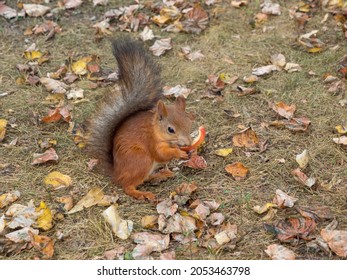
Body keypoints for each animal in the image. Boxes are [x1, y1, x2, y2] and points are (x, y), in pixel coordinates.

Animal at [88, 38, 194, 200]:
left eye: (189, 124)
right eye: (170, 129)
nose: (188, 143)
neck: (156, 130)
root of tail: (117, 174)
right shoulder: (151, 142)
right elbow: (161, 154)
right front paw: (178, 153)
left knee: (145, 178)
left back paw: (161, 174)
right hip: (141, 159)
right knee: (128, 187)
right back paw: (143, 193)